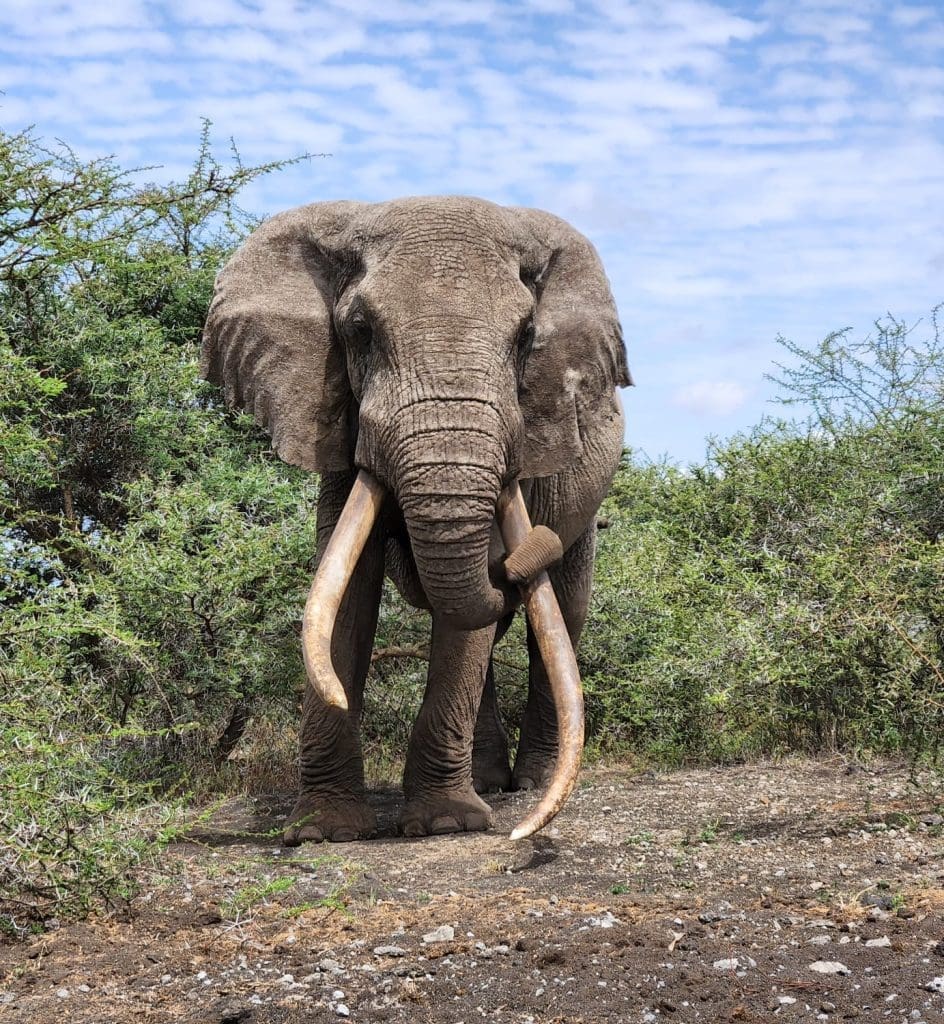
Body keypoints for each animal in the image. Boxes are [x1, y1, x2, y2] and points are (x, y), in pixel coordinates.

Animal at [203, 195, 634, 843]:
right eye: (359, 331)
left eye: (526, 336)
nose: (520, 555)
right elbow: (348, 592)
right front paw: (325, 831)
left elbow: (470, 618)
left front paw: (445, 825)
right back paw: (488, 783)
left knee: (559, 613)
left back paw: (527, 784)